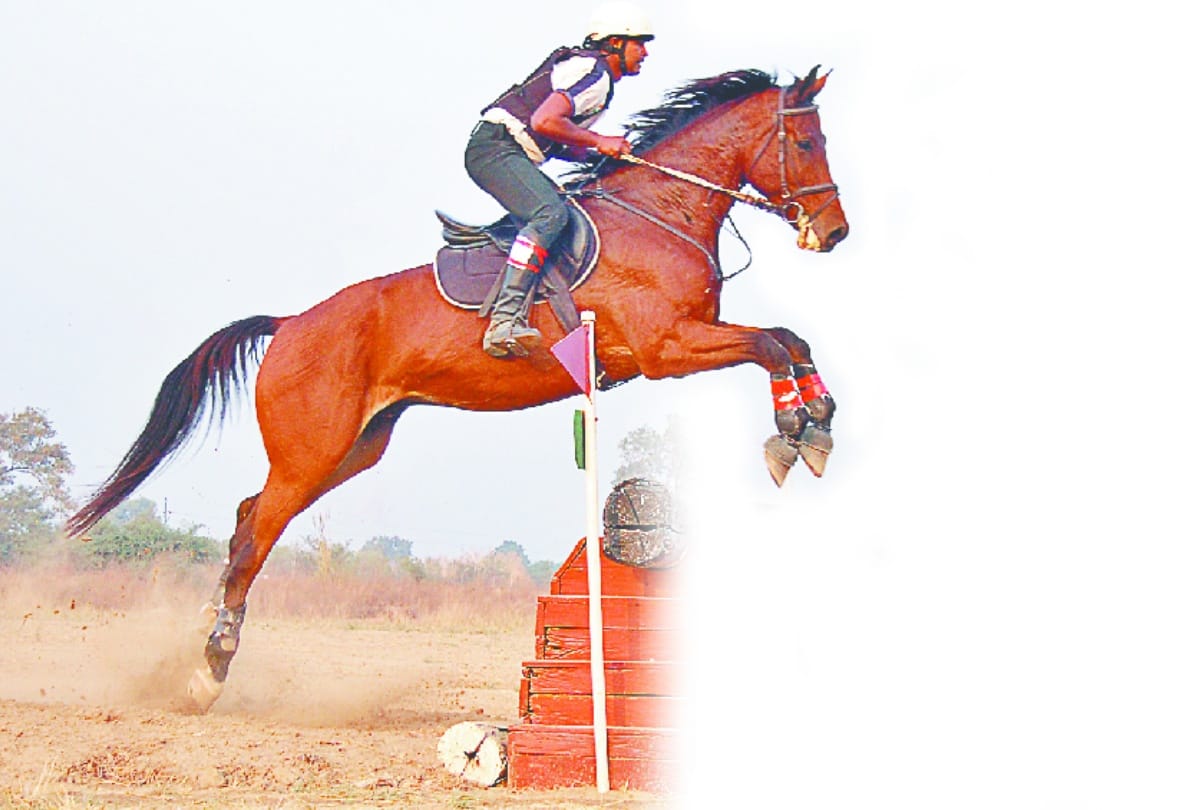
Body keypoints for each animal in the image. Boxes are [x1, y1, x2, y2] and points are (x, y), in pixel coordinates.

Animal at [66, 66, 848, 711]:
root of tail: (289, 325)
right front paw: (792, 434)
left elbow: (791, 341)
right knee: (256, 536)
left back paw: (209, 649)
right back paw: (209, 668)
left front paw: (816, 421)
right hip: (311, 451)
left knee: (246, 517)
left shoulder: (688, 339)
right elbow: (771, 344)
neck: (663, 211)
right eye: (808, 141)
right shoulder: (668, 348)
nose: (835, 232)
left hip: (354, 448)